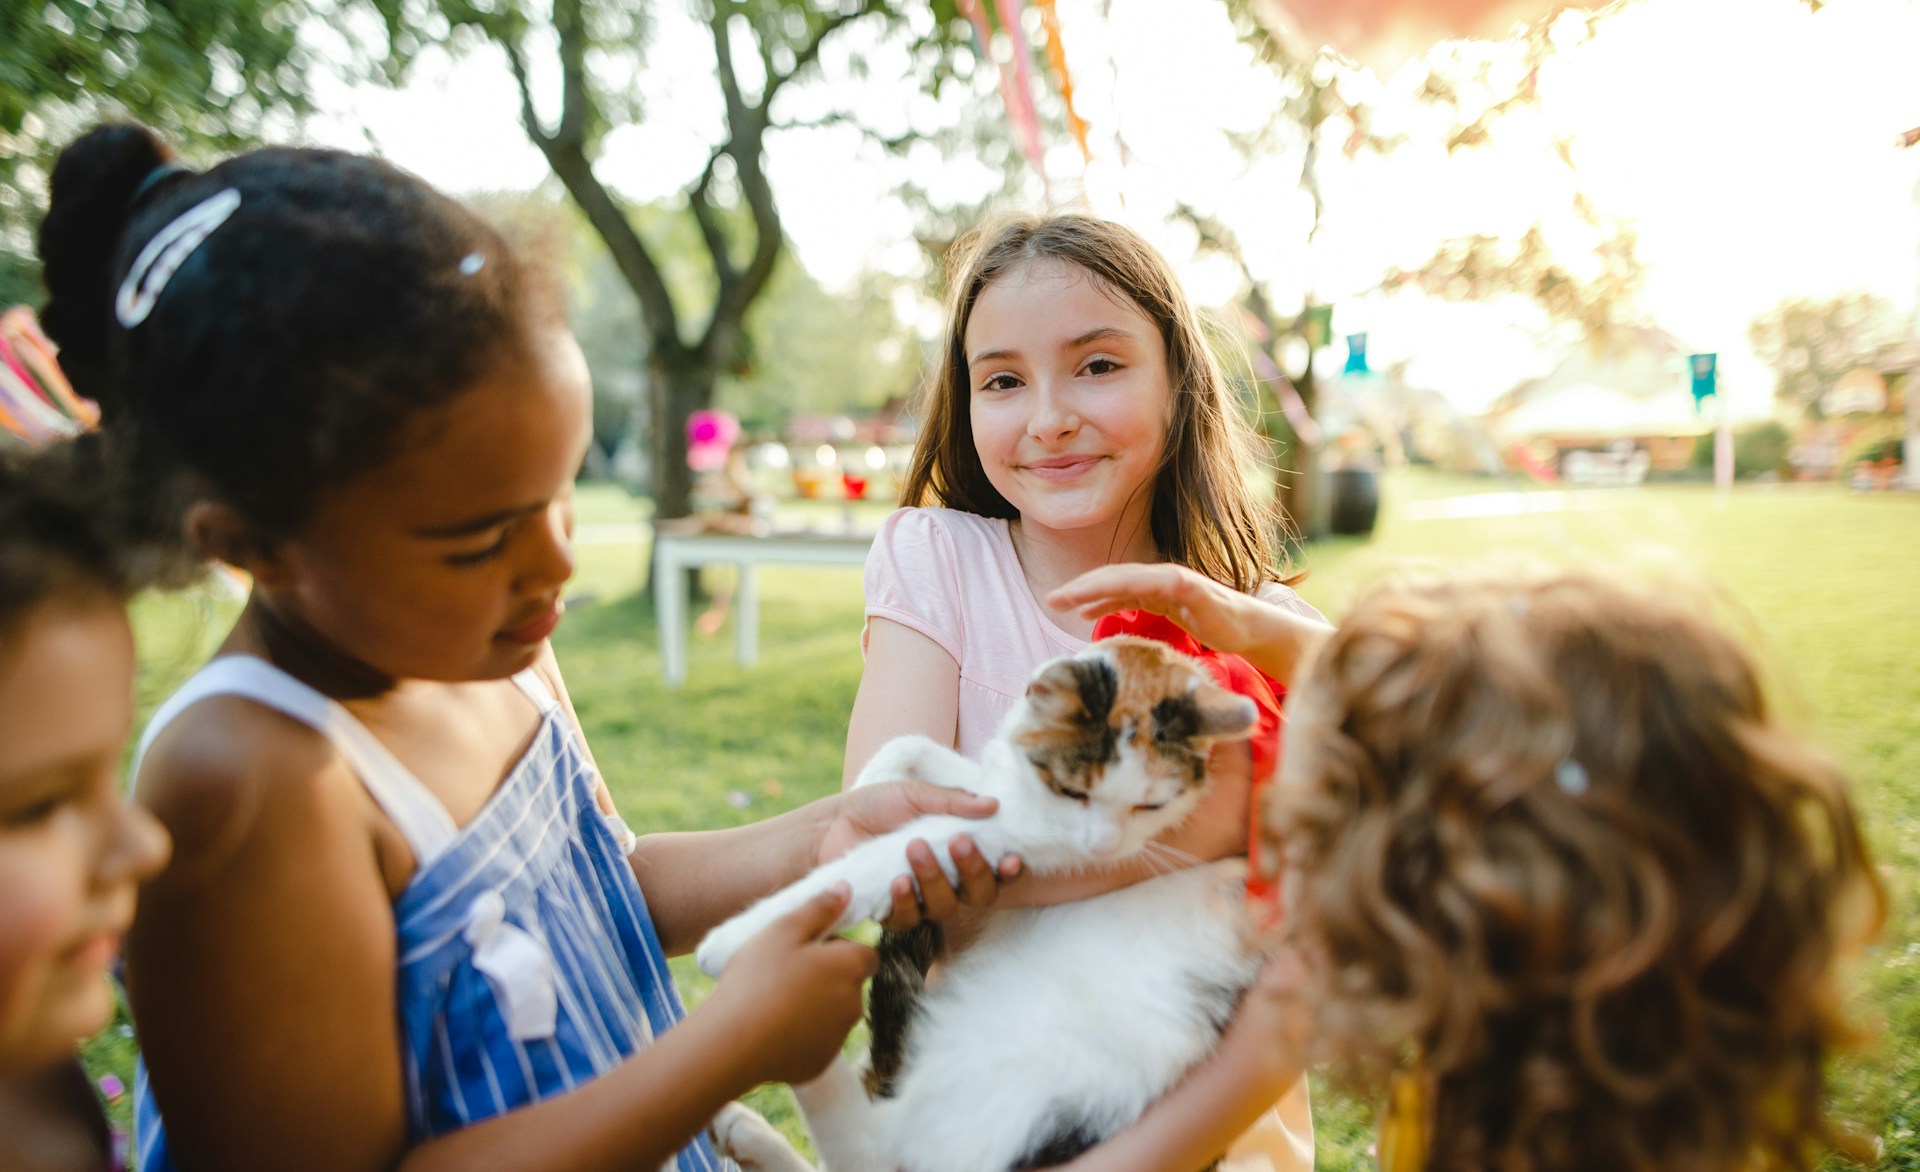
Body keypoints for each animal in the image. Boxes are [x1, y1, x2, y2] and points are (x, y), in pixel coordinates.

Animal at [698, 634, 1267, 1168]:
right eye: (1075, 792)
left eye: (1152, 805)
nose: (1104, 848)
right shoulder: (994, 791)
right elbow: (916, 749)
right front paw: (867, 788)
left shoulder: (1012, 833)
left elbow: (876, 861)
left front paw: (742, 935)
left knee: (871, 1149)